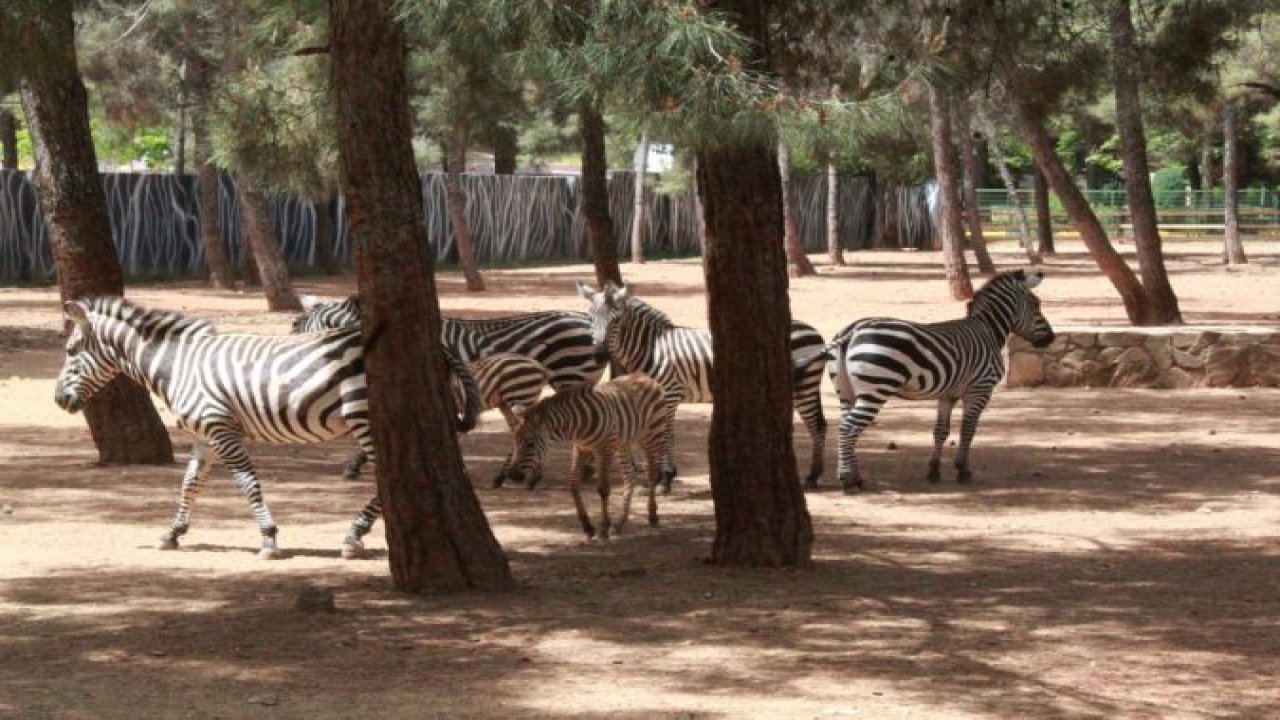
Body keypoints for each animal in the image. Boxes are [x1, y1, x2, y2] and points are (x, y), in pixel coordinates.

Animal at [52, 296, 481, 559]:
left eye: (72, 351)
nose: (58, 400)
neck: (178, 365)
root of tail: (440, 347)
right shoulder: (204, 435)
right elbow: (189, 485)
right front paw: (172, 533)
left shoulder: (221, 429)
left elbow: (247, 483)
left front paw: (269, 539)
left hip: (363, 416)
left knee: (387, 475)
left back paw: (353, 535)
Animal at [506, 373, 672, 540]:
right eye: (514, 442)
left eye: (530, 444)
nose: (512, 475)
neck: (578, 426)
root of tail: (644, 376)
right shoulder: (580, 448)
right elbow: (573, 485)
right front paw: (587, 526)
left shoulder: (604, 449)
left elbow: (603, 489)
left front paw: (604, 527)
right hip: (622, 443)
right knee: (630, 474)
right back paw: (620, 523)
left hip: (651, 434)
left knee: (652, 473)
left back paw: (652, 516)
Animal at [576, 282, 828, 490]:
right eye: (589, 318)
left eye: (616, 321)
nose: (599, 355)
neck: (652, 348)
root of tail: (813, 330)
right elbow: (667, 434)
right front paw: (665, 475)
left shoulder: (669, 392)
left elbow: (665, 435)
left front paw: (664, 479)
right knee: (820, 424)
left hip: (804, 386)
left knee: (816, 426)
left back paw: (813, 476)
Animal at [822, 269, 1055, 492]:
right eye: (1036, 305)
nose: (1051, 338)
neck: (988, 330)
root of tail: (853, 330)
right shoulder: (980, 389)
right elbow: (968, 429)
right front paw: (963, 470)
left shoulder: (947, 395)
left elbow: (941, 431)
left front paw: (933, 471)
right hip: (875, 390)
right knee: (848, 429)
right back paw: (847, 480)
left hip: (846, 392)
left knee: (845, 426)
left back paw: (856, 478)